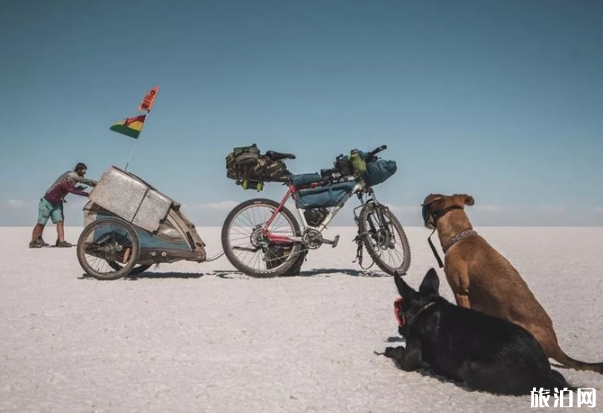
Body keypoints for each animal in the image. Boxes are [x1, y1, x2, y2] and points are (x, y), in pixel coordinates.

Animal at [384, 268, 572, 394]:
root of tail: (545, 374)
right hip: (554, 371)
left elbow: (399, 353)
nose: (399, 328)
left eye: (398, 312)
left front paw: (392, 349)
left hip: (470, 366)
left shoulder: (410, 356)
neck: (424, 306)